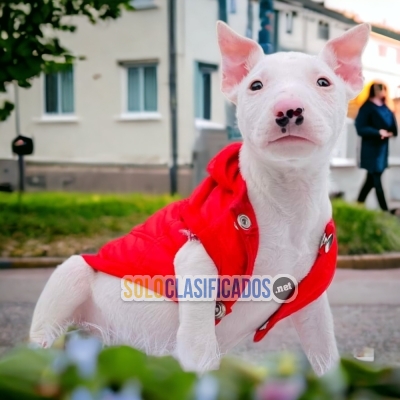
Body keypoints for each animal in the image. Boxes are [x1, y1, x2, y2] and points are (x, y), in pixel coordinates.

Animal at [29, 21, 370, 376]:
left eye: (323, 82)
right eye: (256, 85)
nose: (287, 109)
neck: (286, 196)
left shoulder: (310, 298)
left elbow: (325, 351)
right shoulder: (197, 262)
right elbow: (200, 349)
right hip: (70, 275)